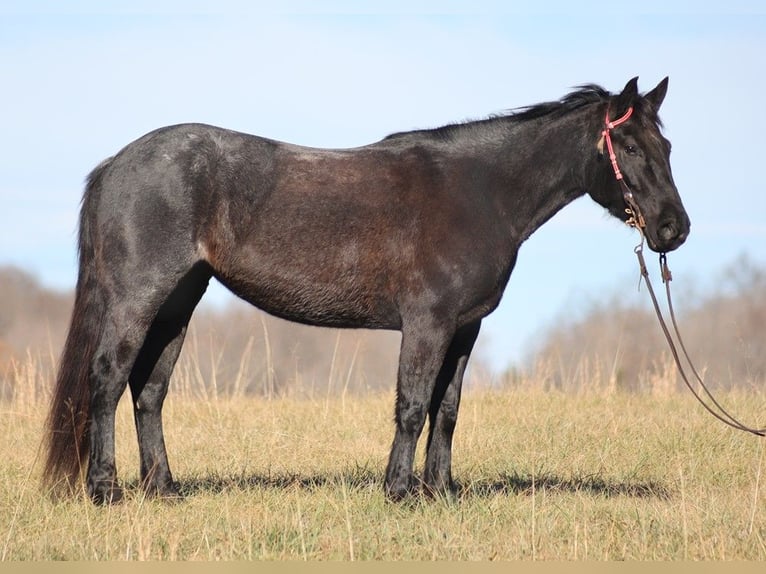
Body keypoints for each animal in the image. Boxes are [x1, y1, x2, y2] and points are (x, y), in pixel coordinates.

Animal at [40, 76, 688, 504]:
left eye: (667, 147)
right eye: (631, 147)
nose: (673, 229)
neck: (481, 192)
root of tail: (118, 163)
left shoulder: (465, 327)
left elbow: (447, 410)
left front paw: (441, 491)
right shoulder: (428, 323)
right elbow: (412, 405)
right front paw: (399, 492)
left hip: (179, 301)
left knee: (149, 390)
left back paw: (165, 489)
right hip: (139, 298)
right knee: (107, 380)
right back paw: (105, 490)